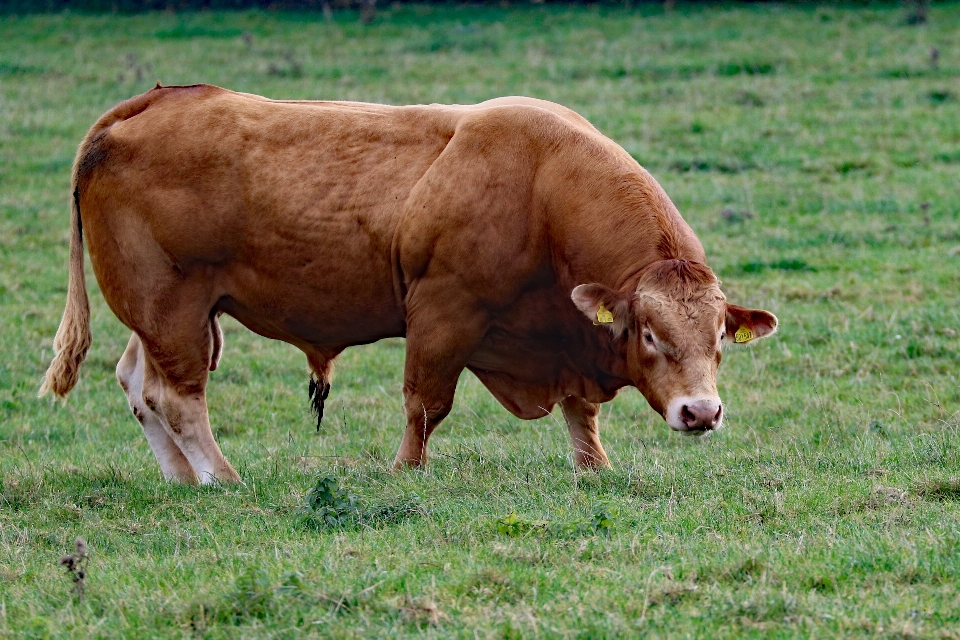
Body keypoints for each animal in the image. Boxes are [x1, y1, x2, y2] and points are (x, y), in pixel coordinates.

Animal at [43, 86, 780, 484]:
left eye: (720, 338)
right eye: (651, 335)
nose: (701, 413)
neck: (543, 187)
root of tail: (153, 102)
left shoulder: (561, 331)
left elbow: (580, 409)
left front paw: (592, 464)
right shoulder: (443, 313)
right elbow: (426, 404)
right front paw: (406, 470)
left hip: (168, 316)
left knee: (139, 385)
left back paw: (185, 478)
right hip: (172, 308)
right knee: (177, 397)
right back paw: (221, 477)